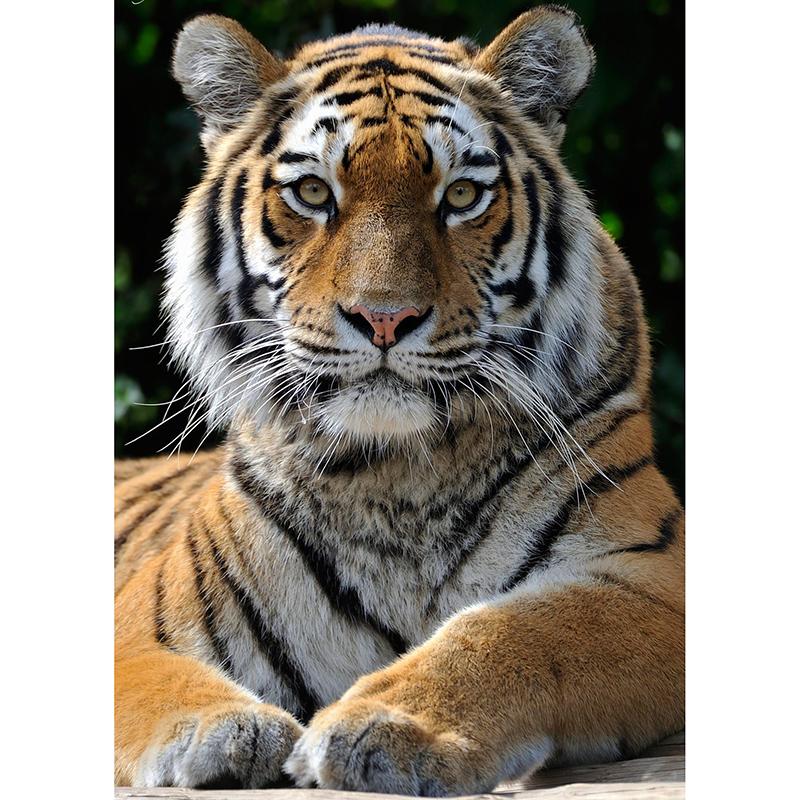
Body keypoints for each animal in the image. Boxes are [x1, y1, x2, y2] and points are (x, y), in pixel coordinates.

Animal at [115, 5, 684, 794]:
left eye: (462, 196)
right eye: (313, 193)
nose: (385, 318)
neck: (396, 478)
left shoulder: (648, 578)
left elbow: (515, 630)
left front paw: (387, 724)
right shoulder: (139, 623)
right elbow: (163, 677)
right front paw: (225, 728)